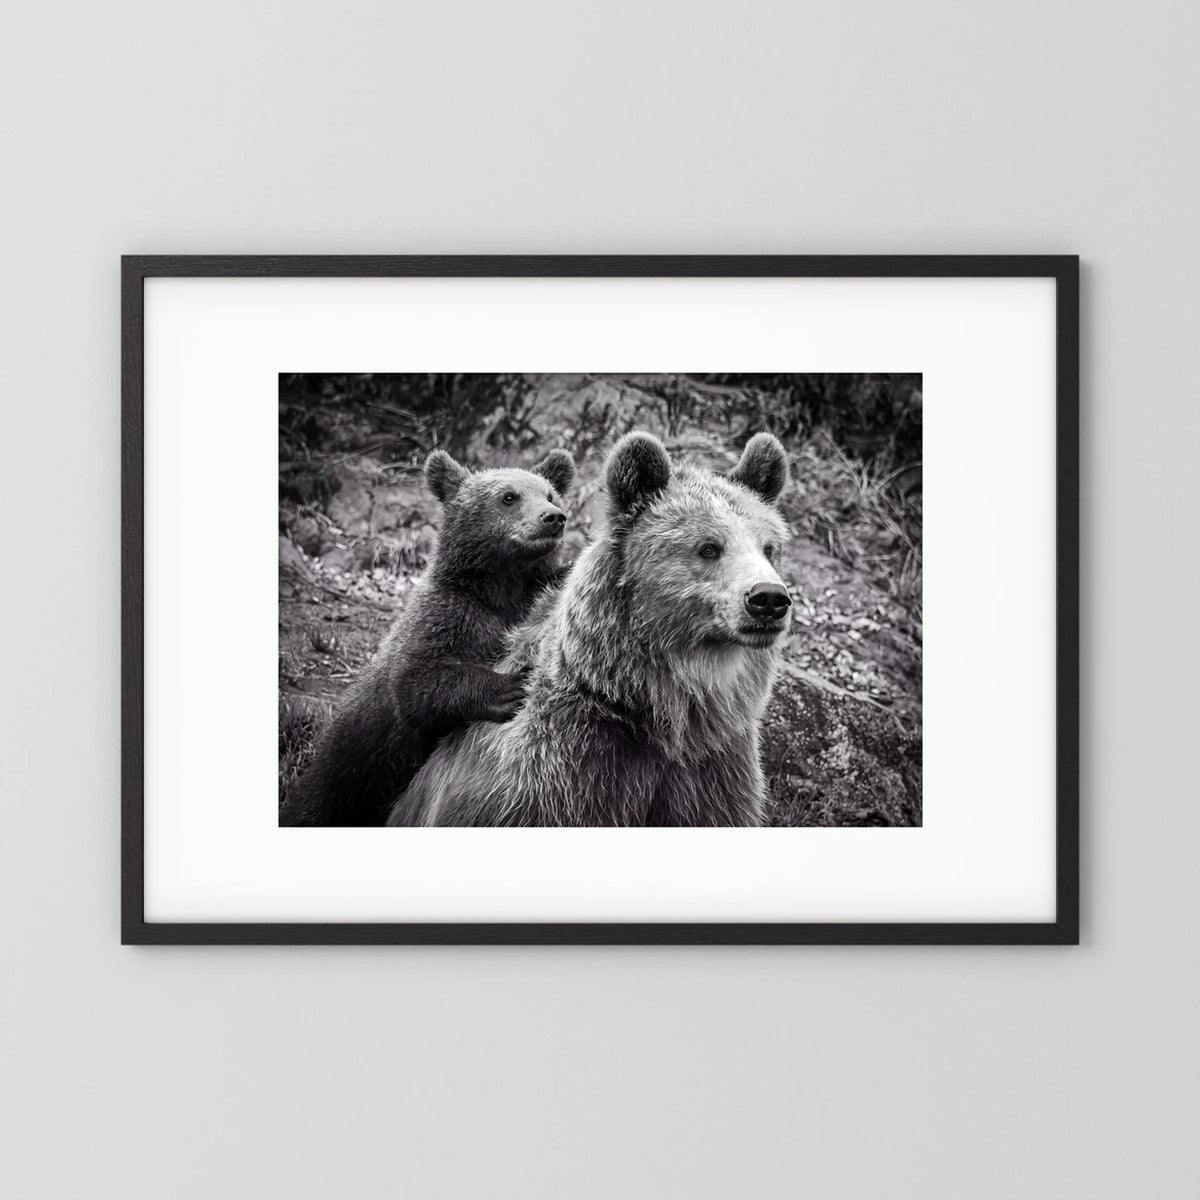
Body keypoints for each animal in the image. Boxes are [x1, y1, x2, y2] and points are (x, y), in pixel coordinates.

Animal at [280, 446, 576, 827]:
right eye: (509, 496)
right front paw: (509, 686)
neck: (500, 588)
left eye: (550, 493)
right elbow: (415, 683)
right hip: (348, 775)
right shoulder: (448, 616)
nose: (553, 517)